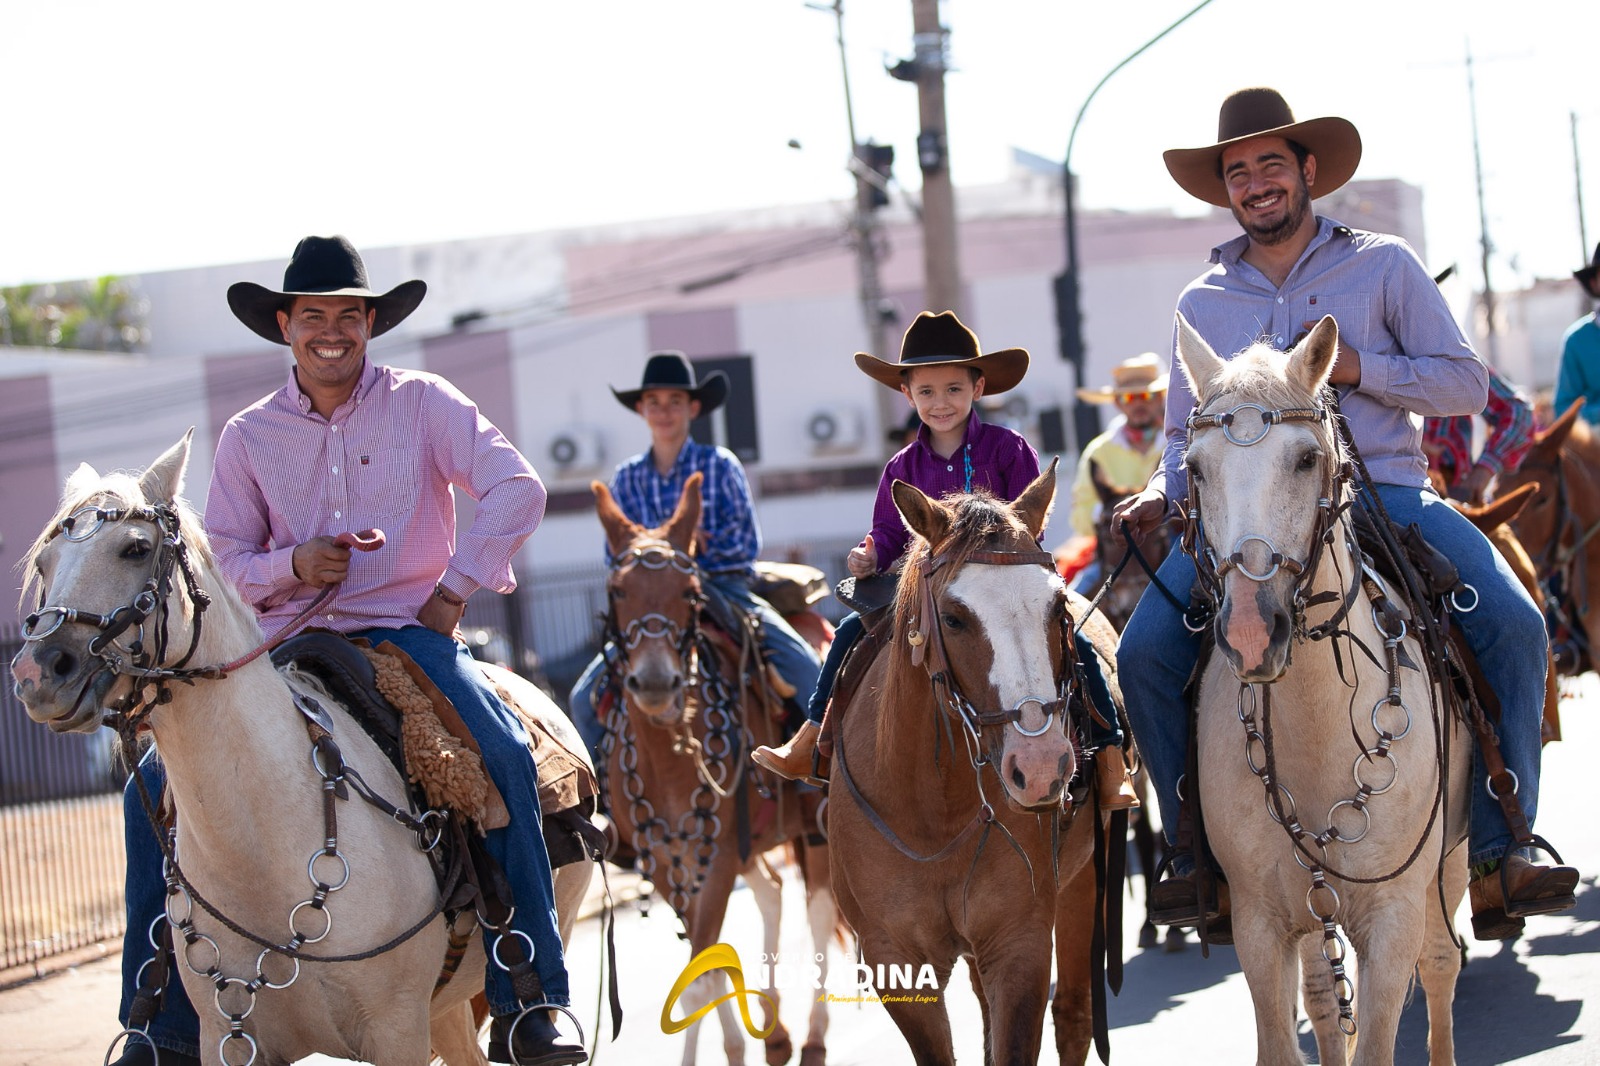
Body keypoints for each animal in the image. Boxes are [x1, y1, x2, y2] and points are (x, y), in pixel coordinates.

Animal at [7, 435, 595, 1062]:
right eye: (43, 564)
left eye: (135, 548)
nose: (37, 673)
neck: (260, 841)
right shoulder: (230, 1037)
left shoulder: (395, 1030)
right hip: (446, 1008)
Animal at [592, 470, 838, 1062]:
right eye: (618, 591)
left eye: (691, 592)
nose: (655, 682)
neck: (669, 756)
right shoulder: (665, 864)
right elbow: (702, 966)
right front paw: (734, 1042)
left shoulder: (722, 856)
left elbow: (700, 975)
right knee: (771, 892)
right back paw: (774, 1028)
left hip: (815, 828)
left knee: (818, 909)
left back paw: (814, 1035)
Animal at [819, 464, 1107, 1062]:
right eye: (953, 618)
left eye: (1058, 609)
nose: (1041, 766)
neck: (934, 810)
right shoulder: (894, 958)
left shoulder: (1019, 944)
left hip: (1083, 884)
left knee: (1074, 1015)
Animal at [1184, 315, 1465, 1062]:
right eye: (1195, 469)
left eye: (1307, 459)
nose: (1252, 631)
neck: (1320, 732)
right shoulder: (1260, 926)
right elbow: (1291, 1032)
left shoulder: (1393, 917)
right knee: (1322, 998)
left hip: (1450, 861)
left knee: (1443, 965)